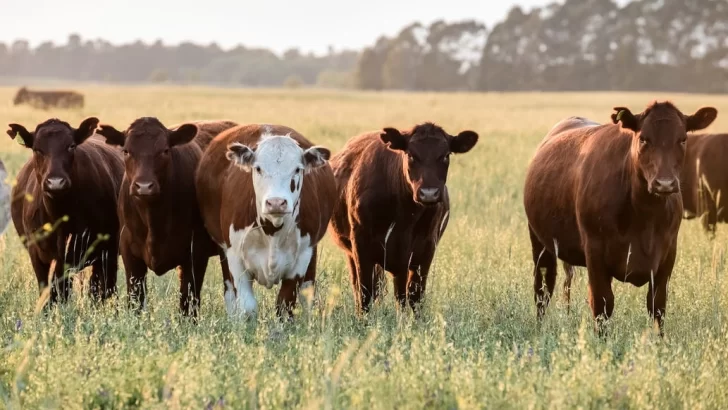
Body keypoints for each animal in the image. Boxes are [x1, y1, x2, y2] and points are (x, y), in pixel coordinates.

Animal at [7, 117, 123, 302]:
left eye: (71, 146)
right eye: (37, 149)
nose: (56, 182)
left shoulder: (101, 250)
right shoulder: (38, 255)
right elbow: (49, 292)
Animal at [96, 117, 239, 316]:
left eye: (164, 150)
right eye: (126, 151)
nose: (144, 186)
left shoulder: (195, 253)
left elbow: (188, 302)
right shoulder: (129, 252)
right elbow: (136, 301)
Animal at [196, 123, 338, 318]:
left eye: (297, 169)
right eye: (258, 168)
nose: (276, 202)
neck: (273, 231)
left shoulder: (302, 257)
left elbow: (285, 305)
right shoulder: (235, 257)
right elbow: (247, 306)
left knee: (307, 292)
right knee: (230, 294)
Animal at [328, 121, 478, 314]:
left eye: (445, 155)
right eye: (411, 155)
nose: (428, 193)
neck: (404, 216)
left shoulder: (424, 249)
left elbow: (413, 296)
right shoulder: (361, 245)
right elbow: (365, 293)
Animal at [524, 102, 716, 336]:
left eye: (683, 139)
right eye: (643, 138)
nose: (665, 183)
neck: (644, 216)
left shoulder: (668, 253)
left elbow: (658, 306)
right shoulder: (594, 250)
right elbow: (602, 304)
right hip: (540, 242)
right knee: (543, 288)